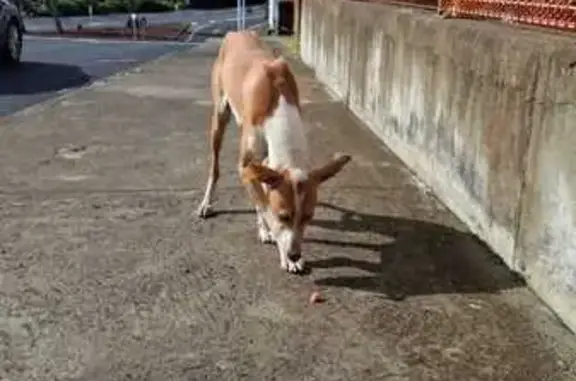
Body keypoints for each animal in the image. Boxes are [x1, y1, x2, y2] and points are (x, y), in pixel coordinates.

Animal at [197, 31, 352, 272]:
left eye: (308, 217)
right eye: (284, 216)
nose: (295, 254)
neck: (277, 99)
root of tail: (237, 32)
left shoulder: (266, 166)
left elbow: (263, 198)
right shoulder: (246, 167)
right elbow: (264, 207)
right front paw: (281, 249)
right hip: (219, 117)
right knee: (215, 167)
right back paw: (206, 203)